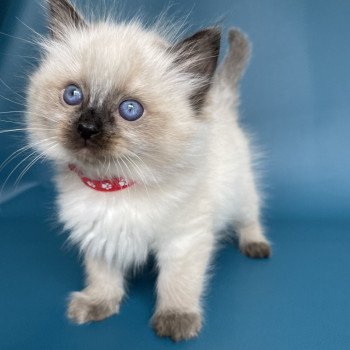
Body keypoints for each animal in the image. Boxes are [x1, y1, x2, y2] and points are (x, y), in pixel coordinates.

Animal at [26, 0, 270, 342]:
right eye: (73, 95)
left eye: (130, 110)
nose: (87, 128)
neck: (115, 186)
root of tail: (219, 101)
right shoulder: (98, 235)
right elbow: (103, 278)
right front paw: (98, 304)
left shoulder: (184, 241)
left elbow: (177, 283)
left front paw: (175, 320)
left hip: (242, 193)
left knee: (251, 218)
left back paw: (256, 246)